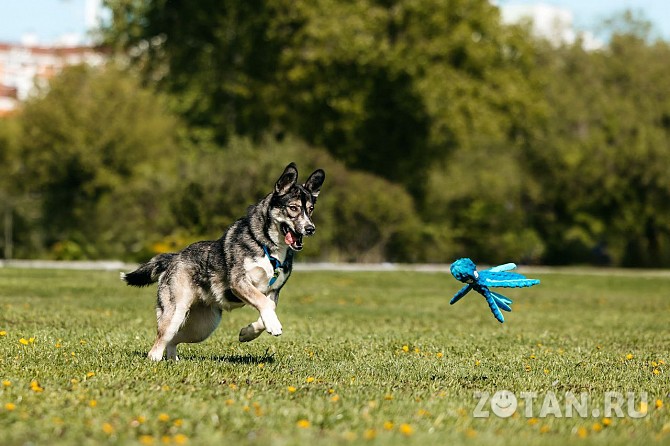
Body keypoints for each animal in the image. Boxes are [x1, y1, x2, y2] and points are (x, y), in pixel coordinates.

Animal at [124, 162, 328, 360]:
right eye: (293, 208)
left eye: (311, 209)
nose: (310, 229)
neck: (266, 245)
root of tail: (175, 257)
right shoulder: (239, 282)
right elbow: (263, 302)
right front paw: (273, 325)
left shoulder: (274, 290)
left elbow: (268, 307)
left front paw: (248, 332)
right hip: (176, 310)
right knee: (161, 339)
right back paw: (155, 359)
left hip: (202, 327)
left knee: (173, 339)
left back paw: (173, 360)